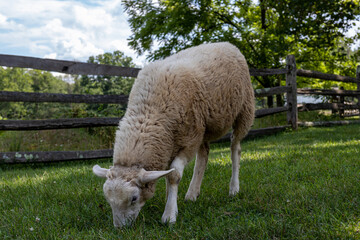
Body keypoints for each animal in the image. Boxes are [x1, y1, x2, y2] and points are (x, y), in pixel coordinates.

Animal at [93, 42, 256, 228]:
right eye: (108, 199)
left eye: (133, 198)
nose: (120, 228)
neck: (148, 113)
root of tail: (227, 44)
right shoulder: (168, 142)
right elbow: (166, 174)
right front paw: (170, 198)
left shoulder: (188, 140)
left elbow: (173, 175)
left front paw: (170, 213)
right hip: (203, 126)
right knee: (204, 154)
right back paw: (192, 193)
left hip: (244, 110)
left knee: (235, 148)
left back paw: (233, 188)